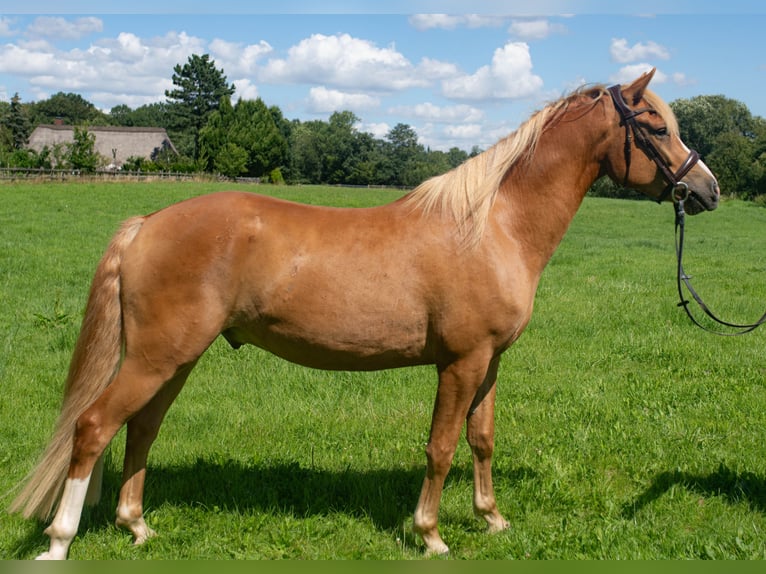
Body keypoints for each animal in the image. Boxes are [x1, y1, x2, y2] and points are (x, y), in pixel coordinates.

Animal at [10, 70, 720, 560]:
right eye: (657, 128)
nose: (707, 188)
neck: (492, 226)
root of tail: (147, 223)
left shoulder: (490, 363)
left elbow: (482, 439)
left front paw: (492, 518)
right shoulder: (460, 363)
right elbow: (440, 446)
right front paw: (431, 535)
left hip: (173, 360)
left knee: (141, 430)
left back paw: (137, 526)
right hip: (157, 358)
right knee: (94, 427)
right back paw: (59, 541)